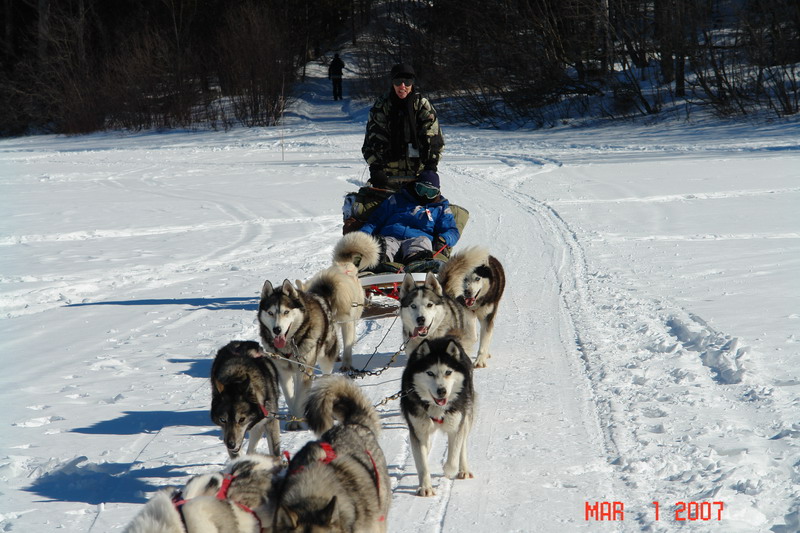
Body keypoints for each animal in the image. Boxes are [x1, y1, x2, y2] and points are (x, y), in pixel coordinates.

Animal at [260, 280, 340, 430]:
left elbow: (299, 397)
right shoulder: (283, 372)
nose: (277, 329)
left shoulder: (304, 370)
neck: (289, 345)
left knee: (326, 375)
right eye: (270, 313)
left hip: (325, 357)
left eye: (286, 312)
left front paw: (296, 420)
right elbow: (290, 397)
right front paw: (293, 416)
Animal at [400, 336, 476, 494]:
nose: (442, 391)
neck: (436, 407)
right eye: (430, 373)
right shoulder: (418, 431)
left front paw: (448, 470)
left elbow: (453, 458)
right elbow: (422, 462)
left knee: (463, 444)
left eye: (448, 372)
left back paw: (463, 469)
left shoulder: (456, 426)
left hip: (466, 415)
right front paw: (425, 487)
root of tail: (441, 339)